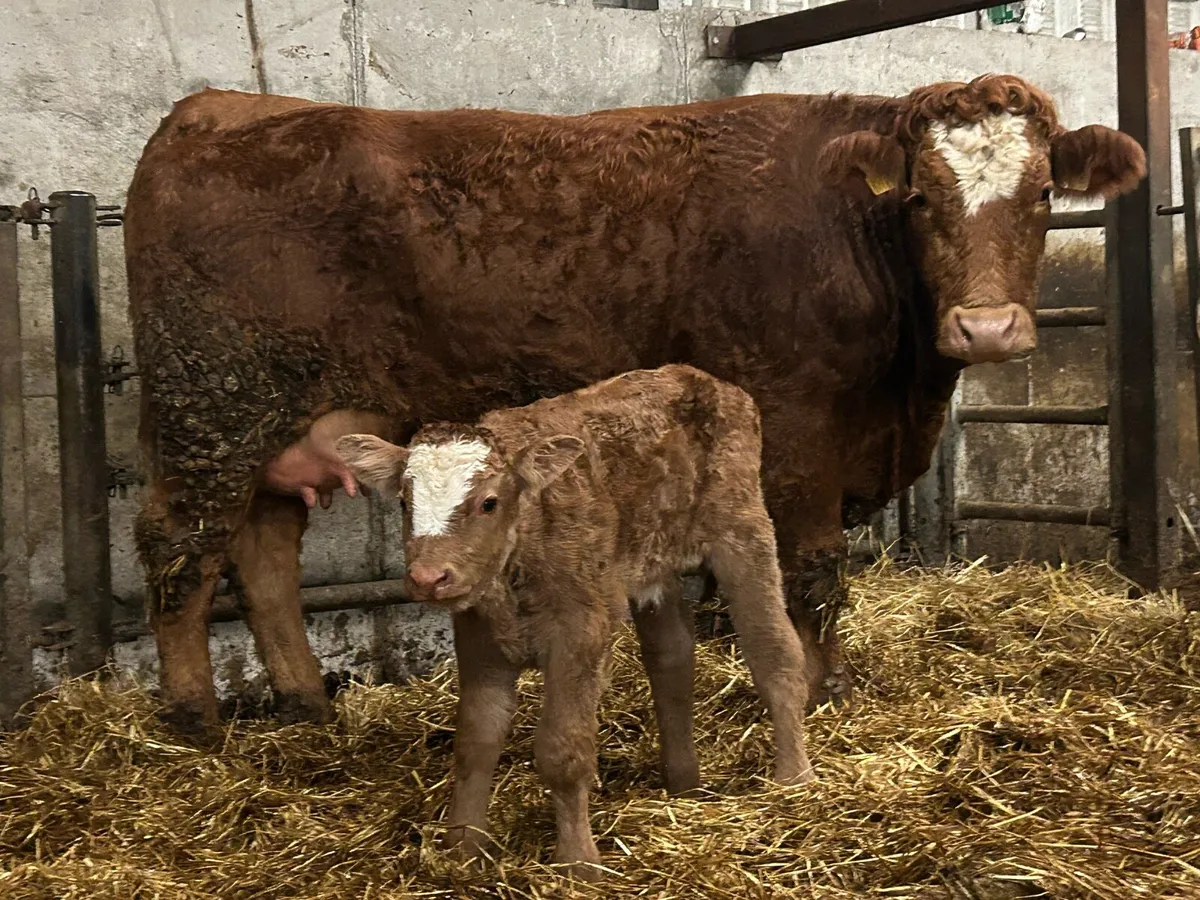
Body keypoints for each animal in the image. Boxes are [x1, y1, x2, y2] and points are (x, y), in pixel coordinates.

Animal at [123, 74, 1146, 734]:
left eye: (1045, 192)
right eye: (923, 197)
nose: (986, 328)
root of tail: (213, 108)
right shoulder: (798, 427)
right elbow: (813, 572)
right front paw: (823, 690)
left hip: (273, 426)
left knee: (261, 553)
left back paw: (302, 703)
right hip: (211, 409)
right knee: (180, 548)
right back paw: (193, 717)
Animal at [334, 364, 814, 876]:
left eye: (488, 502)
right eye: (405, 504)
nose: (428, 576)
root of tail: (695, 375)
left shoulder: (580, 631)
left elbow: (562, 750)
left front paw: (578, 864)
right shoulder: (479, 637)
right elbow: (475, 742)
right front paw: (461, 850)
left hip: (741, 526)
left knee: (775, 652)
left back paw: (794, 778)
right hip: (651, 560)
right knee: (672, 657)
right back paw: (684, 782)